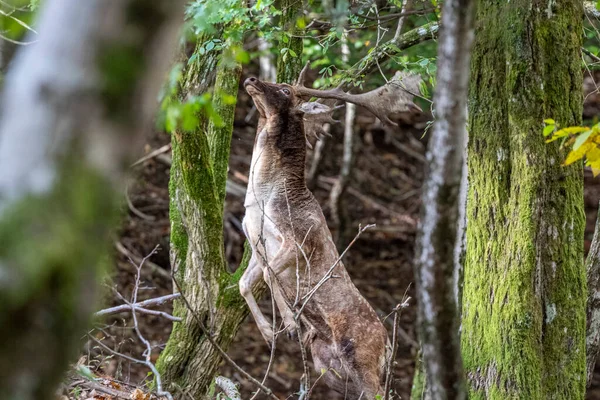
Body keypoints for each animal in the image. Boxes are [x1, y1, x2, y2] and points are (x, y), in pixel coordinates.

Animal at [239, 64, 422, 398]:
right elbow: (244, 283)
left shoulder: (300, 237)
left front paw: (290, 324)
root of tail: (388, 347)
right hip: (329, 366)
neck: (263, 198)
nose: (251, 78)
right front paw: (269, 333)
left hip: (361, 357)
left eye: (285, 89)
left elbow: (270, 274)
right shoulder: (255, 244)